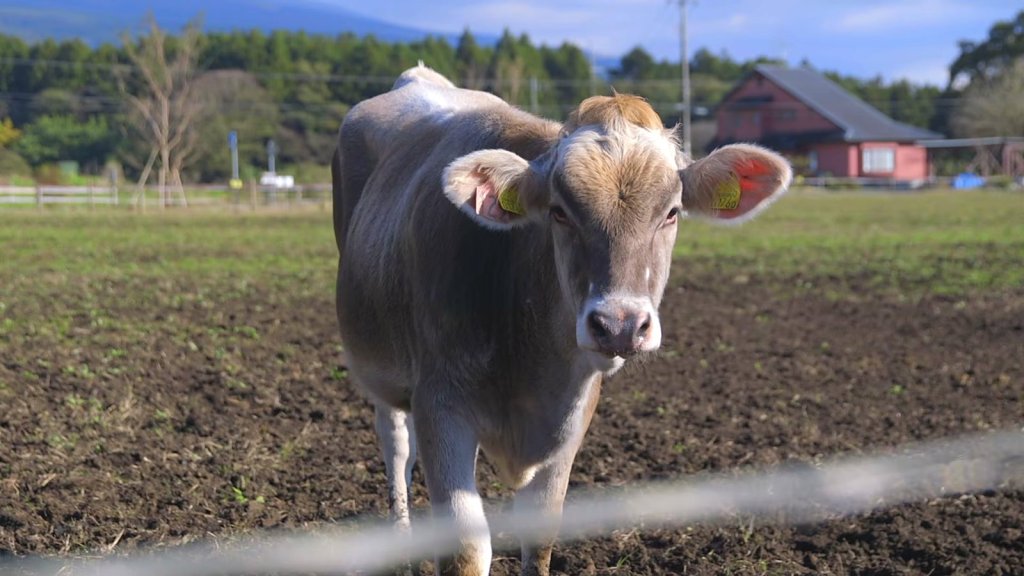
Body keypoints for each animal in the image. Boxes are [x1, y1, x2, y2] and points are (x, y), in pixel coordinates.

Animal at [332, 64, 791, 576]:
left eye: (671, 212)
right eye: (559, 211)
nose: (619, 325)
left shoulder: (572, 417)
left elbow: (540, 537)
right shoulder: (441, 404)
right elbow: (467, 549)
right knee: (396, 442)